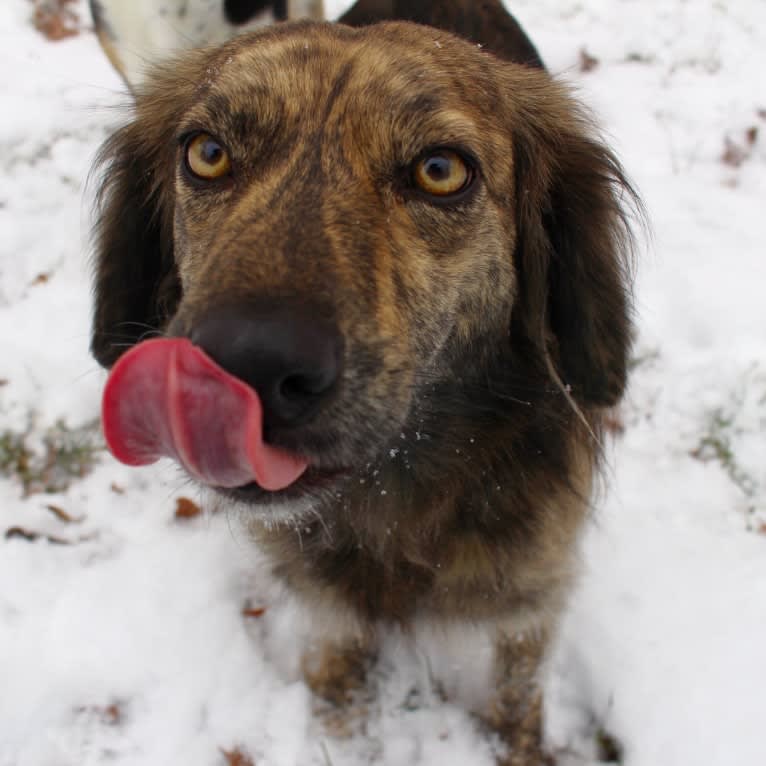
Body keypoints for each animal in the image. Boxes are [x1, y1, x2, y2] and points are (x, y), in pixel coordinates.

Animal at [93, 12, 640, 766]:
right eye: (206, 154)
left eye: (441, 171)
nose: (244, 365)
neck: (394, 500)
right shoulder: (324, 592)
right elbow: (337, 655)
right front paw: (337, 723)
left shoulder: (531, 596)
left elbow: (517, 691)